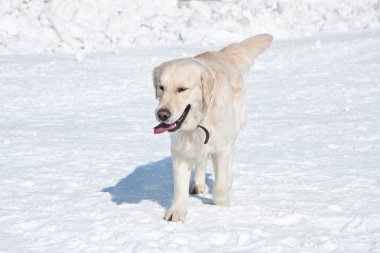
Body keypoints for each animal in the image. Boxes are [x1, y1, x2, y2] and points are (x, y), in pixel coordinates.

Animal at [153, 34, 272, 221]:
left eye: (182, 89)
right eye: (161, 87)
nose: (162, 114)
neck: (199, 122)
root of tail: (221, 53)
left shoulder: (221, 149)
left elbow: (220, 187)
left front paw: (222, 208)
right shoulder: (181, 152)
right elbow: (179, 186)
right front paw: (177, 212)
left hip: (233, 131)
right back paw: (198, 184)